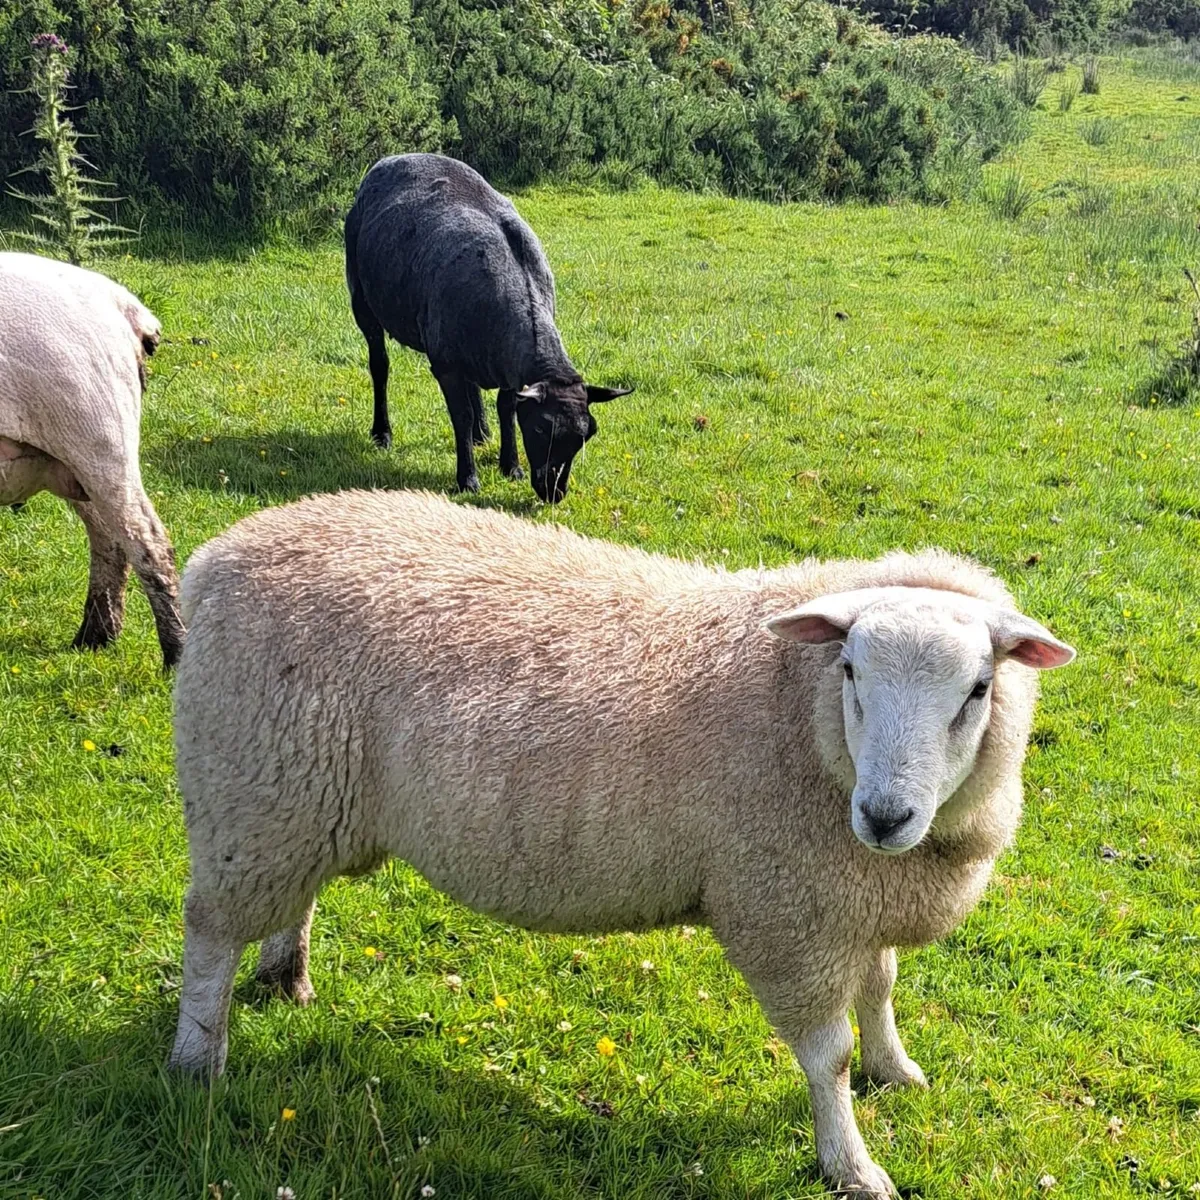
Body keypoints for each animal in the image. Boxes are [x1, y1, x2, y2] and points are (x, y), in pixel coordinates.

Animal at [0, 252, 184, 667]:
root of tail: (118, 302)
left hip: (96, 434)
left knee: (148, 541)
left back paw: (176, 652)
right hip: (66, 458)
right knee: (108, 539)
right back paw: (95, 635)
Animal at [166, 489, 1074, 1198]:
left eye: (979, 689)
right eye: (849, 670)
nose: (885, 816)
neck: (801, 716)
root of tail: (218, 555)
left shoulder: (855, 904)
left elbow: (881, 992)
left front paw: (899, 1071)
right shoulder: (787, 914)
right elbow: (830, 1058)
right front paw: (851, 1164)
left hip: (296, 800)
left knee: (293, 897)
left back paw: (287, 977)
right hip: (248, 790)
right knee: (209, 932)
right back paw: (197, 1060)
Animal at [344, 153, 632, 502]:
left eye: (588, 434)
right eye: (540, 428)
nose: (554, 492)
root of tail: (393, 159)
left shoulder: (510, 368)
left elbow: (506, 408)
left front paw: (511, 466)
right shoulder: (445, 365)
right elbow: (461, 417)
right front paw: (468, 478)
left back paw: (482, 434)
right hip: (362, 299)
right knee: (380, 366)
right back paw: (382, 433)